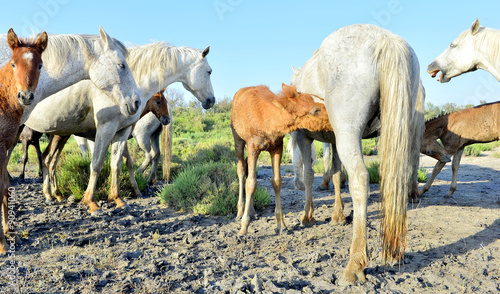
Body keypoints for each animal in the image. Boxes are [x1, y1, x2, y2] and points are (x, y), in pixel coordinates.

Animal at [25, 42, 214, 214]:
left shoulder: (121, 132)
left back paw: (53, 195)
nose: (211, 100)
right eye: (209, 71)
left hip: (60, 135)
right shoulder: (104, 129)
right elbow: (97, 163)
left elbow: (117, 164)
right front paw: (91, 202)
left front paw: (118, 199)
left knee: (48, 159)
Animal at [292, 23, 424, 282]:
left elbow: (311, 174)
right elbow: (334, 174)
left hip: (349, 133)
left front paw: (307, 215)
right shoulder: (332, 140)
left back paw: (355, 263)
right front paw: (337, 215)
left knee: (360, 179)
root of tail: (385, 39)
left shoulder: (305, 137)